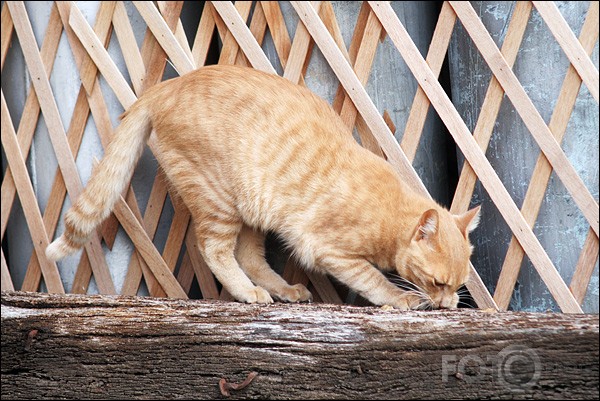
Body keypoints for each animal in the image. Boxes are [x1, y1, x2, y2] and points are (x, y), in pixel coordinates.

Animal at [47, 65, 480, 310]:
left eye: (458, 285)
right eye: (438, 283)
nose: (447, 305)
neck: (389, 212)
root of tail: (163, 88)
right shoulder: (331, 251)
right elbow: (373, 280)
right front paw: (400, 298)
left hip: (251, 210)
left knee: (250, 257)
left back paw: (283, 290)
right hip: (219, 201)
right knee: (214, 250)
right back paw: (248, 293)